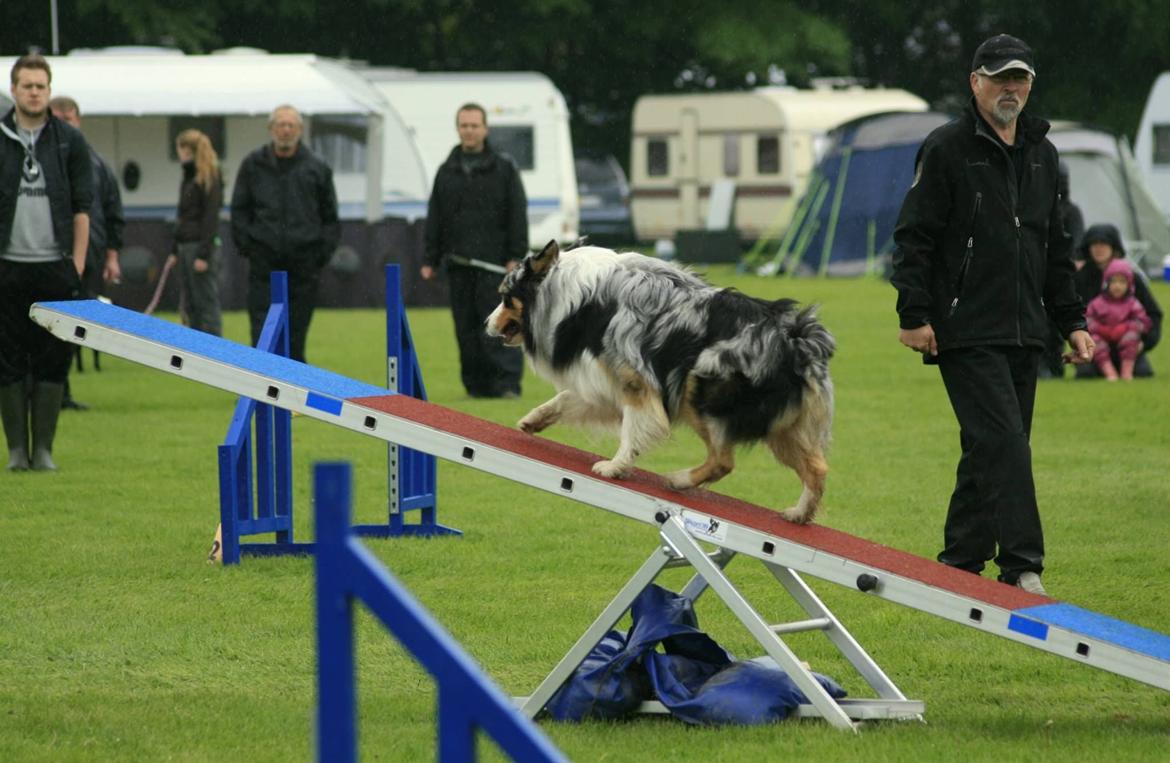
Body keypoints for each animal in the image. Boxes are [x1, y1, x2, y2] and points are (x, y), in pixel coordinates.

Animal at [484, 241, 833, 521]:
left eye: (505, 297)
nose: (486, 324)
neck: (572, 295)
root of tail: (796, 341)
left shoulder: (635, 380)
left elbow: (632, 429)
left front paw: (616, 467)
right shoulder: (603, 378)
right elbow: (568, 398)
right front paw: (534, 419)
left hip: (699, 391)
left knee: (723, 461)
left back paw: (680, 480)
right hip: (784, 427)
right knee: (817, 468)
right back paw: (799, 515)